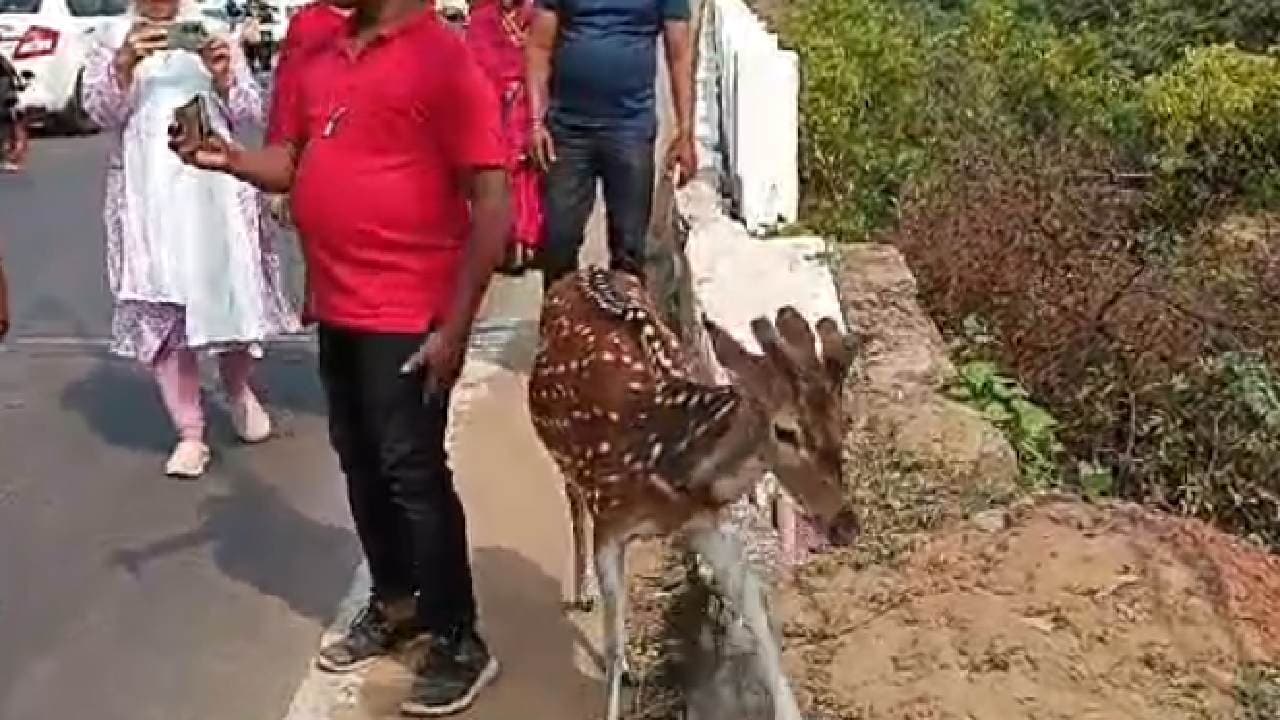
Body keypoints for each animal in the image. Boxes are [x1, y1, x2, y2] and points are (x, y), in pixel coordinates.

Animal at [528, 267, 857, 720]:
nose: (847, 525)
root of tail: (582, 271)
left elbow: (754, 611)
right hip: (568, 462)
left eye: (843, 422)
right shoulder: (610, 520)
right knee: (574, 506)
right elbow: (612, 642)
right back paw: (584, 595)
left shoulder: (705, 525)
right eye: (785, 430)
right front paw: (615, 691)